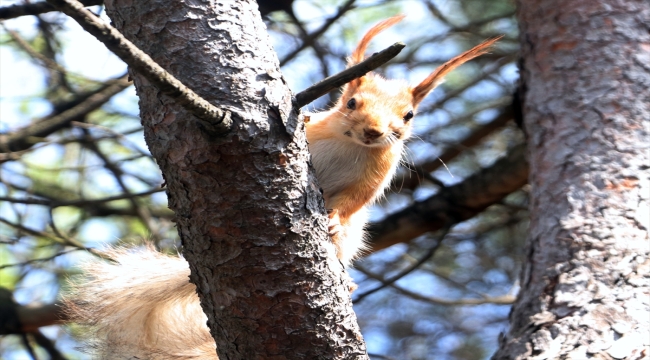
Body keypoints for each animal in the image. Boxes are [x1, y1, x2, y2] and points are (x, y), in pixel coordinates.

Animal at [64, 15, 496, 358]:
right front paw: (301, 117)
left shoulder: (378, 172)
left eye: (408, 116)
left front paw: (335, 219)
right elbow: (308, 124)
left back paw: (346, 276)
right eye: (351, 103)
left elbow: (356, 201)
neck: (352, 145)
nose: (374, 132)